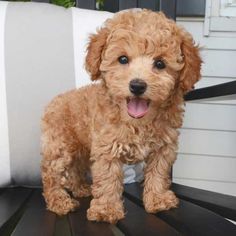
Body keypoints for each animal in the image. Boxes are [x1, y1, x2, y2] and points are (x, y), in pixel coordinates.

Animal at [40, 9, 201, 223]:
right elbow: (108, 179)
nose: (137, 85)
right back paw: (59, 202)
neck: (138, 122)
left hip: (81, 148)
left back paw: (81, 189)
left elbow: (158, 172)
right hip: (60, 146)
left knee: (75, 168)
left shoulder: (164, 146)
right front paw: (106, 209)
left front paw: (158, 200)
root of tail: (55, 100)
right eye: (123, 59)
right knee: (51, 174)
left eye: (160, 63)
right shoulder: (106, 148)